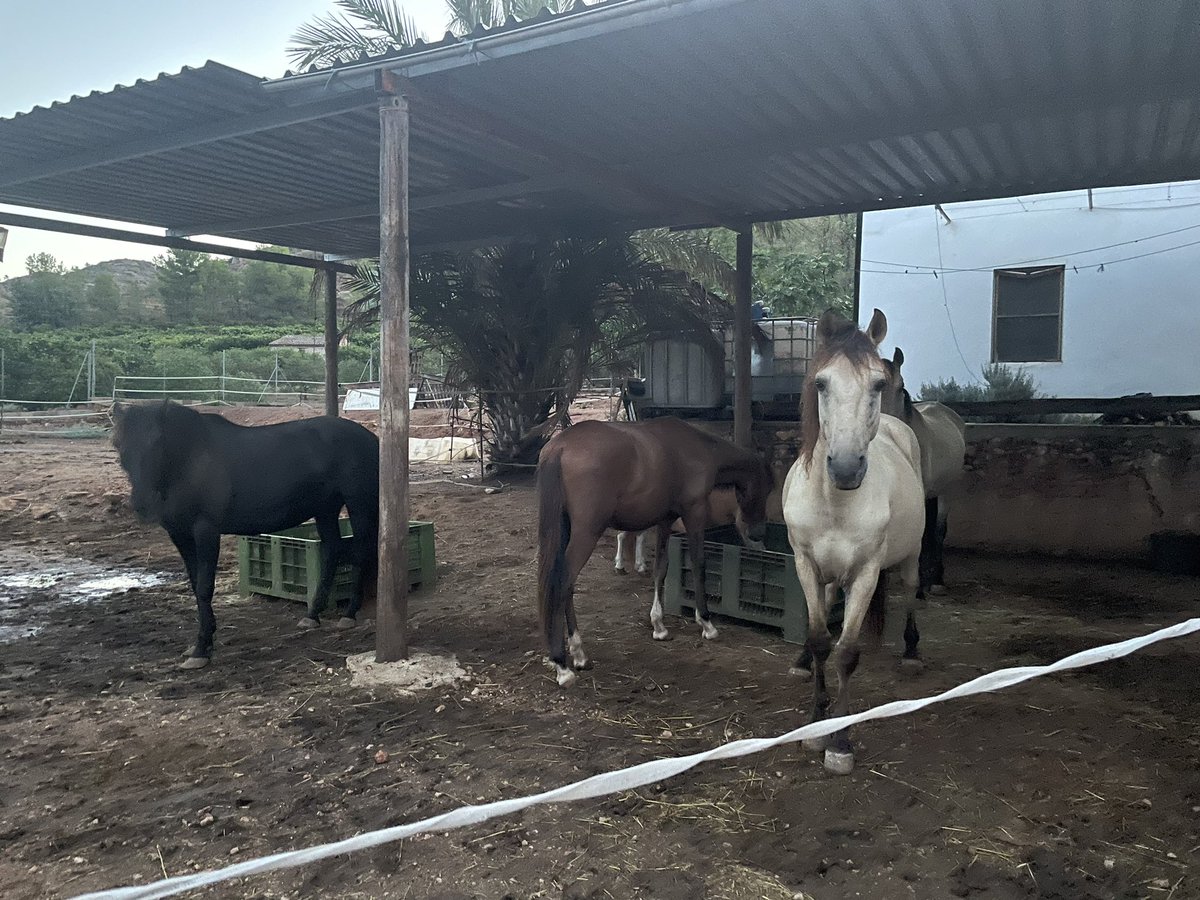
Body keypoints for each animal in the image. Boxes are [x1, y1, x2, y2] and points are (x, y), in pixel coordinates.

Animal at [111, 400, 379, 669]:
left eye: (157, 440)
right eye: (117, 444)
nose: (142, 504)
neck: (190, 461)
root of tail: (371, 438)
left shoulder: (206, 531)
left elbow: (205, 586)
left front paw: (201, 650)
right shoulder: (180, 535)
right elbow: (195, 585)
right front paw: (203, 641)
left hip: (358, 504)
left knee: (361, 551)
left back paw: (349, 614)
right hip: (325, 508)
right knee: (332, 550)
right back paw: (312, 615)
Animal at [538, 417, 774, 687]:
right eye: (767, 487)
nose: (759, 533)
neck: (700, 448)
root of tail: (560, 447)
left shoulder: (665, 520)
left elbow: (661, 568)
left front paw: (659, 625)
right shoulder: (694, 513)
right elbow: (698, 563)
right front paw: (706, 622)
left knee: (565, 585)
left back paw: (577, 655)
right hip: (587, 532)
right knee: (563, 583)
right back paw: (563, 665)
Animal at [781, 309, 925, 775]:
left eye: (877, 384)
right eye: (821, 383)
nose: (845, 469)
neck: (834, 502)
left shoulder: (864, 574)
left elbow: (846, 652)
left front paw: (839, 743)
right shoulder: (806, 564)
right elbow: (819, 640)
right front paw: (815, 726)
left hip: (911, 557)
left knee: (911, 590)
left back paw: (912, 652)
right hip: (826, 576)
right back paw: (801, 662)